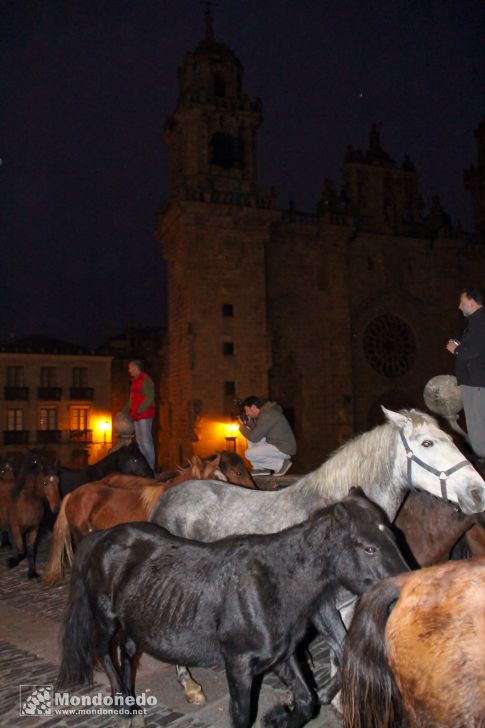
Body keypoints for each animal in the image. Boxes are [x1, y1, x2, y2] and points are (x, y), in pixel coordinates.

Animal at [56, 490, 406, 728]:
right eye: (369, 548)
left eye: (394, 535)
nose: (402, 593)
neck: (272, 582)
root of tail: (103, 536)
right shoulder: (238, 664)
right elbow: (242, 715)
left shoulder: (281, 656)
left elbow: (308, 701)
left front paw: (279, 716)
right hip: (106, 618)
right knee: (103, 651)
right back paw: (123, 707)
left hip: (136, 621)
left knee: (128, 652)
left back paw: (133, 704)